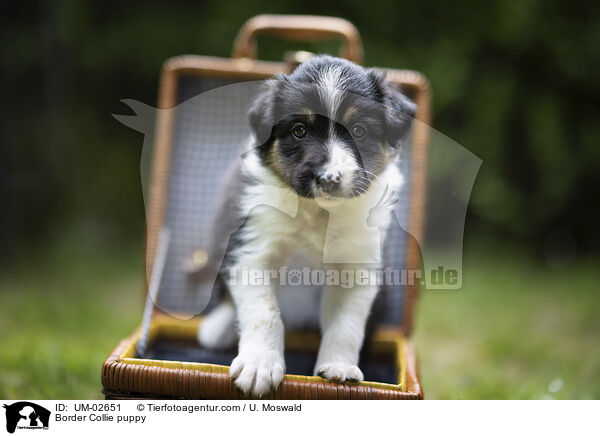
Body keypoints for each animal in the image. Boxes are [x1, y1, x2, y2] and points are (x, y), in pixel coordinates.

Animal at [199, 54, 414, 396]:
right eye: (299, 130)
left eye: (359, 129)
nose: (329, 178)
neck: (319, 213)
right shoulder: (253, 250)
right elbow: (265, 312)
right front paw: (260, 365)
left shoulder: (357, 265)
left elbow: (346, 324)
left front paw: (338, 367)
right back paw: (218, 327)